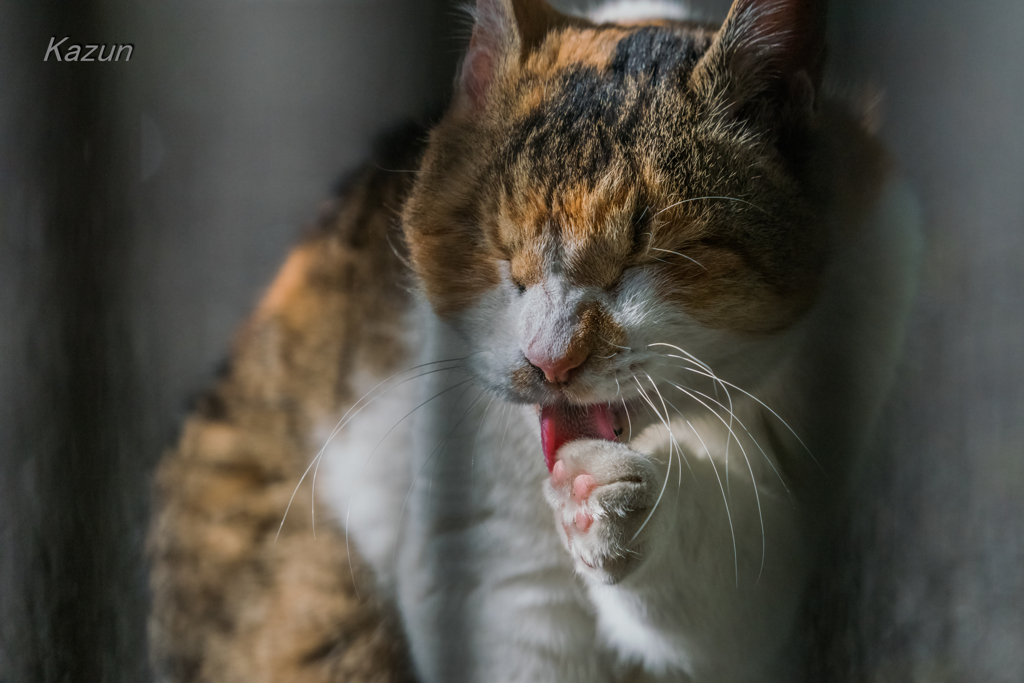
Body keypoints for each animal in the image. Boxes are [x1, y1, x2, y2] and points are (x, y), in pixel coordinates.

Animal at [146, 1, 921, 683]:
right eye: (497, 248)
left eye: (644, 253)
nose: (550, 359)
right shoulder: (494, 574)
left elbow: (733, 591)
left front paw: (611, 499)